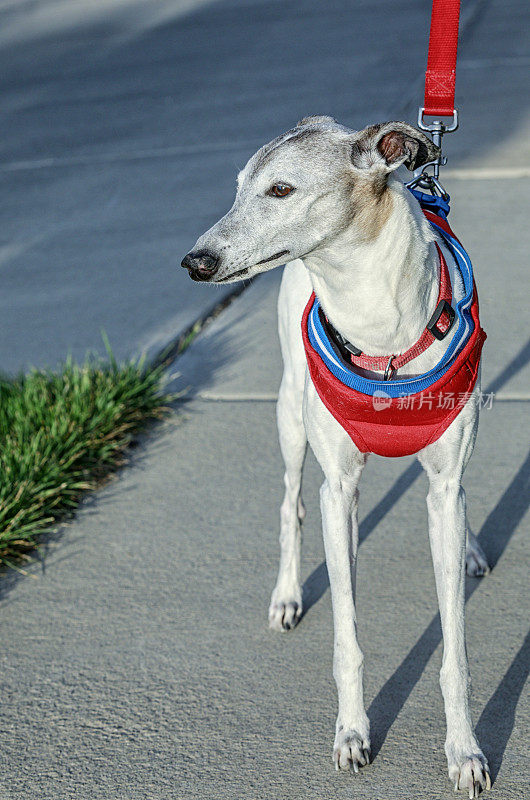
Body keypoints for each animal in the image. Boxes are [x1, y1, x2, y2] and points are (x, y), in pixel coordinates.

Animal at [182, 115, 490, 796]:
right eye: (239, 187)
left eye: (280, 189)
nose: (195, 262)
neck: (382, 334)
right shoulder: (339, 481)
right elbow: (348, 634)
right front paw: (352, 734)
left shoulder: (444, 477)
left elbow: (455, 645)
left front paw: (465, 751)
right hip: (292, 419)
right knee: (293, 504)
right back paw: (288, 594)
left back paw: (472, 548)